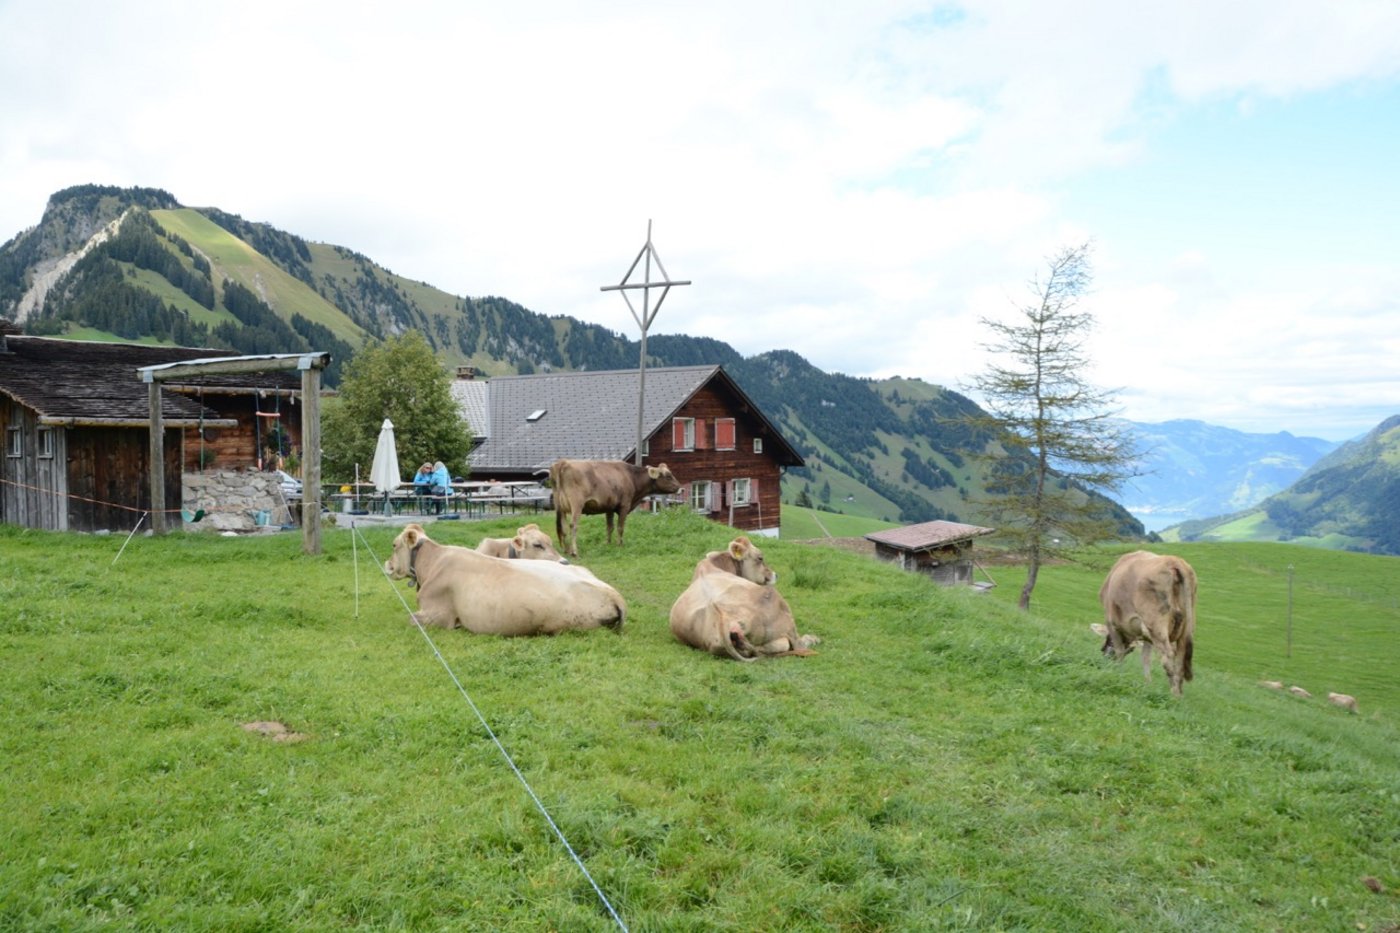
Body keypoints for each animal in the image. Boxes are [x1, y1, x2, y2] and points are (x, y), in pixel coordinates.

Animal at [384, 523, 625, 635]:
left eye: (394, 545)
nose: (387, 564)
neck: (433, 562)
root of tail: (615, 597)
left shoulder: (439, 616)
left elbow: (411, 619)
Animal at [550, 459, 681, 558]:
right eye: (668, 476)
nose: (681, 488)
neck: (631, 476)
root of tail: (564, 462)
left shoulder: (609, 508)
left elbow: (609, 527)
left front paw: (608, 543)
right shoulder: (624, 506)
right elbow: (620, 528)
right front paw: (620, 544)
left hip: (560, 507)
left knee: (563, 527)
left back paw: (566, 550)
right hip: (576, 504)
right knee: (573, 525)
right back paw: (574, 551)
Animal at [669, 536, 820, 661]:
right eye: (760, 558)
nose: (775, 575)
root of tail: (724, 619)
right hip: (781, 607)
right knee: (797, 644)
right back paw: (813, 639)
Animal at [1091, 550, 1197, 696]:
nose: (1103, 653)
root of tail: (1175, 562)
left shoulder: (1112, 623)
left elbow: (1119, 651)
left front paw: (1118, 673)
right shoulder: (1146, 635)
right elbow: (1145, 658)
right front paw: (1147, 684)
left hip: (1156, 625)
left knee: (1168, 656)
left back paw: (1174, 693)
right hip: (1185, 629)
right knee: (1180, 659)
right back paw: (1179, 694)